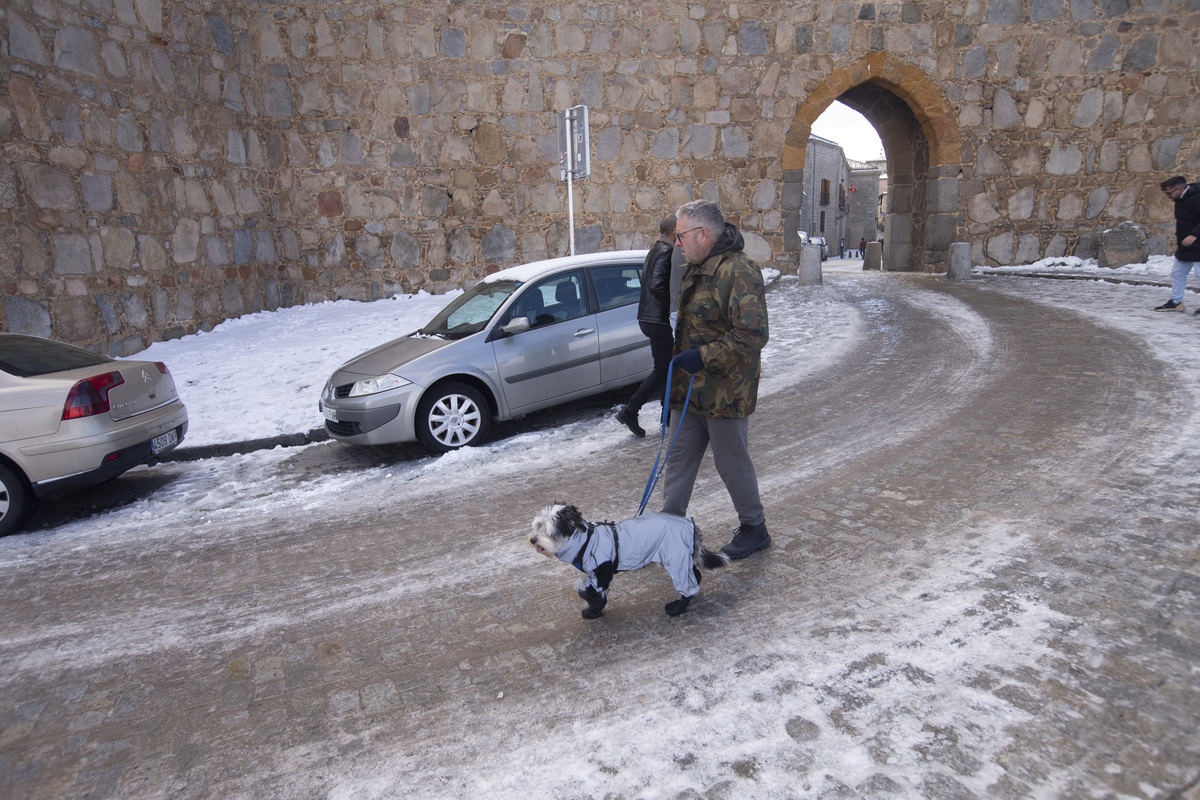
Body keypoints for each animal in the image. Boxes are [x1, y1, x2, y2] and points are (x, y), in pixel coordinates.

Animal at [532, 503, 729, 623]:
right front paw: (594, 611)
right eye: (538, 525)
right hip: (679, 558)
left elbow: (591, 594)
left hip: (676, 559)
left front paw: (594, 610)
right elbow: (592, 592)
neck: (586, 540)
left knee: (688, 583)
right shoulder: (596, 574)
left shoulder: (602, 571)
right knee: (696, 574)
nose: (533, 540)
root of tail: (692, 526)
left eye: (548, 531)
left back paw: (678, 607)